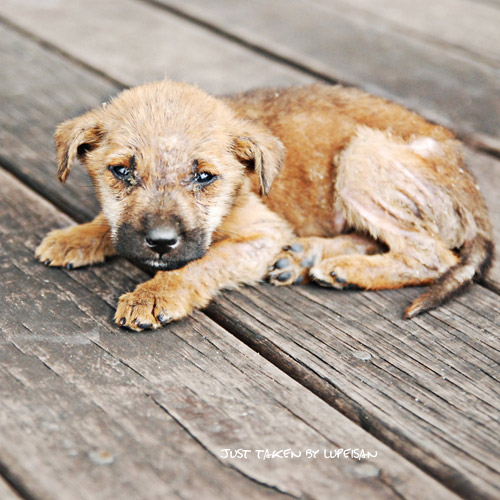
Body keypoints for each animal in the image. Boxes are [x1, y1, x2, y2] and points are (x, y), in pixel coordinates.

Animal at [34, 81, 492, 332]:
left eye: (205, 177)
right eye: (122, 171)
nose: (160, 243)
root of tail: (474, 195)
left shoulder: (263, 234)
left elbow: (201, 264)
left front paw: (157, 294)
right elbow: (110, 223)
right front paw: (78, 236)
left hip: (361, 156)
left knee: (431, 254)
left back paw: (345, 269)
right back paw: (309, 257)